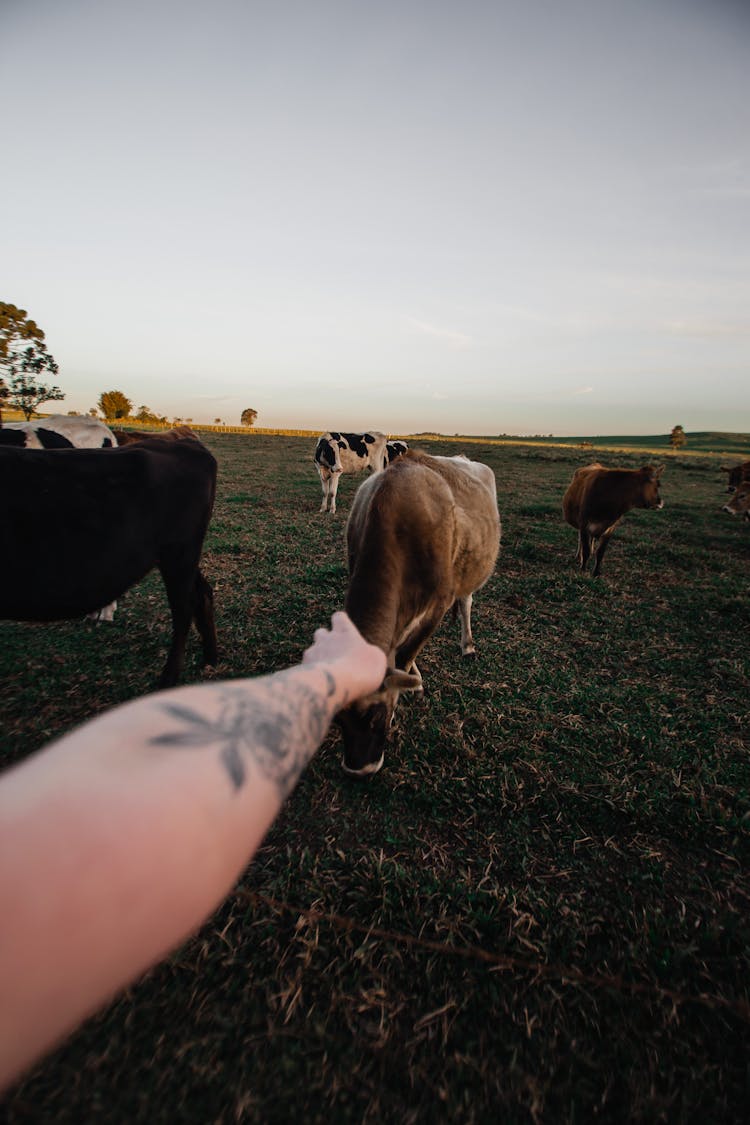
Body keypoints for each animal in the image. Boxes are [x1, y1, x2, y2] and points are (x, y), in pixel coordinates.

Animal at [0, 434, 218, 688]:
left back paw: (169, 678)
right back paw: (210, 658)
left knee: (184, 609)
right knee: (202, 593)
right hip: (178, 555)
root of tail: (185, 443)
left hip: (179, 552)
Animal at [335, 445, 499, 774]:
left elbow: (408, 652)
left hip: (467, 574)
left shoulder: (439, 601)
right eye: (337, 721)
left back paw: (468, 645)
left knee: (466, 602)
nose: (358, 771)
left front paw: (415, 684)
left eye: (375, 714)